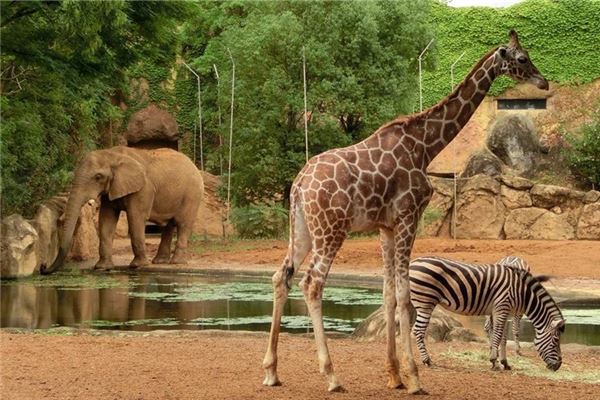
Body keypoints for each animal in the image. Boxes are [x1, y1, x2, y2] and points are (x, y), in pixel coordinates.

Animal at [40, 146, 204, 276]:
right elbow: (106, 220)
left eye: (98, 177)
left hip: (192, 194)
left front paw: (138, 266)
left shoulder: (143, 188)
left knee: (182, 224)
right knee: (169, 226)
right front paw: (102, 267)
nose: (43, 267)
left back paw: (176, 262)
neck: (112, 154)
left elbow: (135, 218)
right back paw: (160, 261)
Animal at [262, 30, 548, 394]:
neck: (426, 146)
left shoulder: (386, 226)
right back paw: (332, 376)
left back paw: (271, 370)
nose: (543, 82)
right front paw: (414, 378)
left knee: (281, 276)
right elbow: (406, 298)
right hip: (331, 229)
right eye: (523, 58)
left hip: (301, 229)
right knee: (312, 283)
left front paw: (394, 375)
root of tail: (299, 185)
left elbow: (388, 296)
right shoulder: (409, 216)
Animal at [408, 256, 564, 372]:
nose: (558, 366)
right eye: (556, 340)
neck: (521, 292)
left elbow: (502, 338)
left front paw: (504, 362)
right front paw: (494, 361)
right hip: (425, 302)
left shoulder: (502, 311)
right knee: (418, 330)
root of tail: (413, 263)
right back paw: (427, 360)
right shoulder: (501, 307)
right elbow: (498, 336)